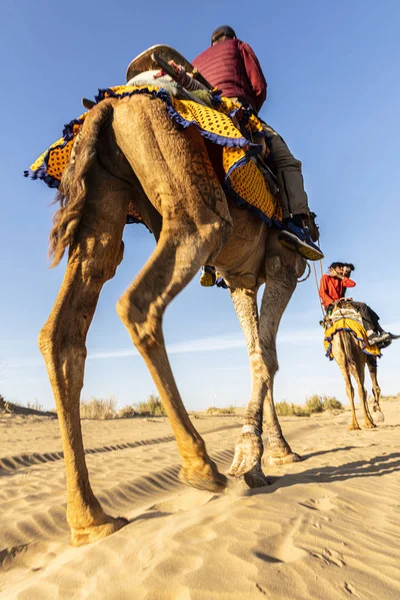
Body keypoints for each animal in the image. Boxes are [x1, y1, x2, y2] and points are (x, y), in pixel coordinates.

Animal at [38, 92, 306, 544]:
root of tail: (109, 108)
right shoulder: (283, 262)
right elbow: (267, 358)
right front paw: (251, 459)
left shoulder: (241, 279)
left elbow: (257, 352)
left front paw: (269, 455)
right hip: (195, 207)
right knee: (139, 302)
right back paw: (204, 470)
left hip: (104, 200)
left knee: (63, 329)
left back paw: (91, 519)